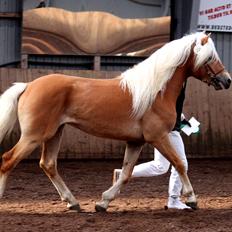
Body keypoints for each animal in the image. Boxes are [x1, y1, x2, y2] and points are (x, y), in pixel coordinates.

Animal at [0, 31, 230, 212]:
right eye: (210, 57)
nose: (226, 80)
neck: (155, 92)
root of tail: (28, 85)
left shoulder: (136, 142)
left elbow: (127, 173)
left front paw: (103, 203)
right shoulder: (158, 137)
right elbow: (180, 163)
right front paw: (192, 199)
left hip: (54, 133)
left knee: (48, 164)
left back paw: (73, 203)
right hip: (34, 136)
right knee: (8, 160)